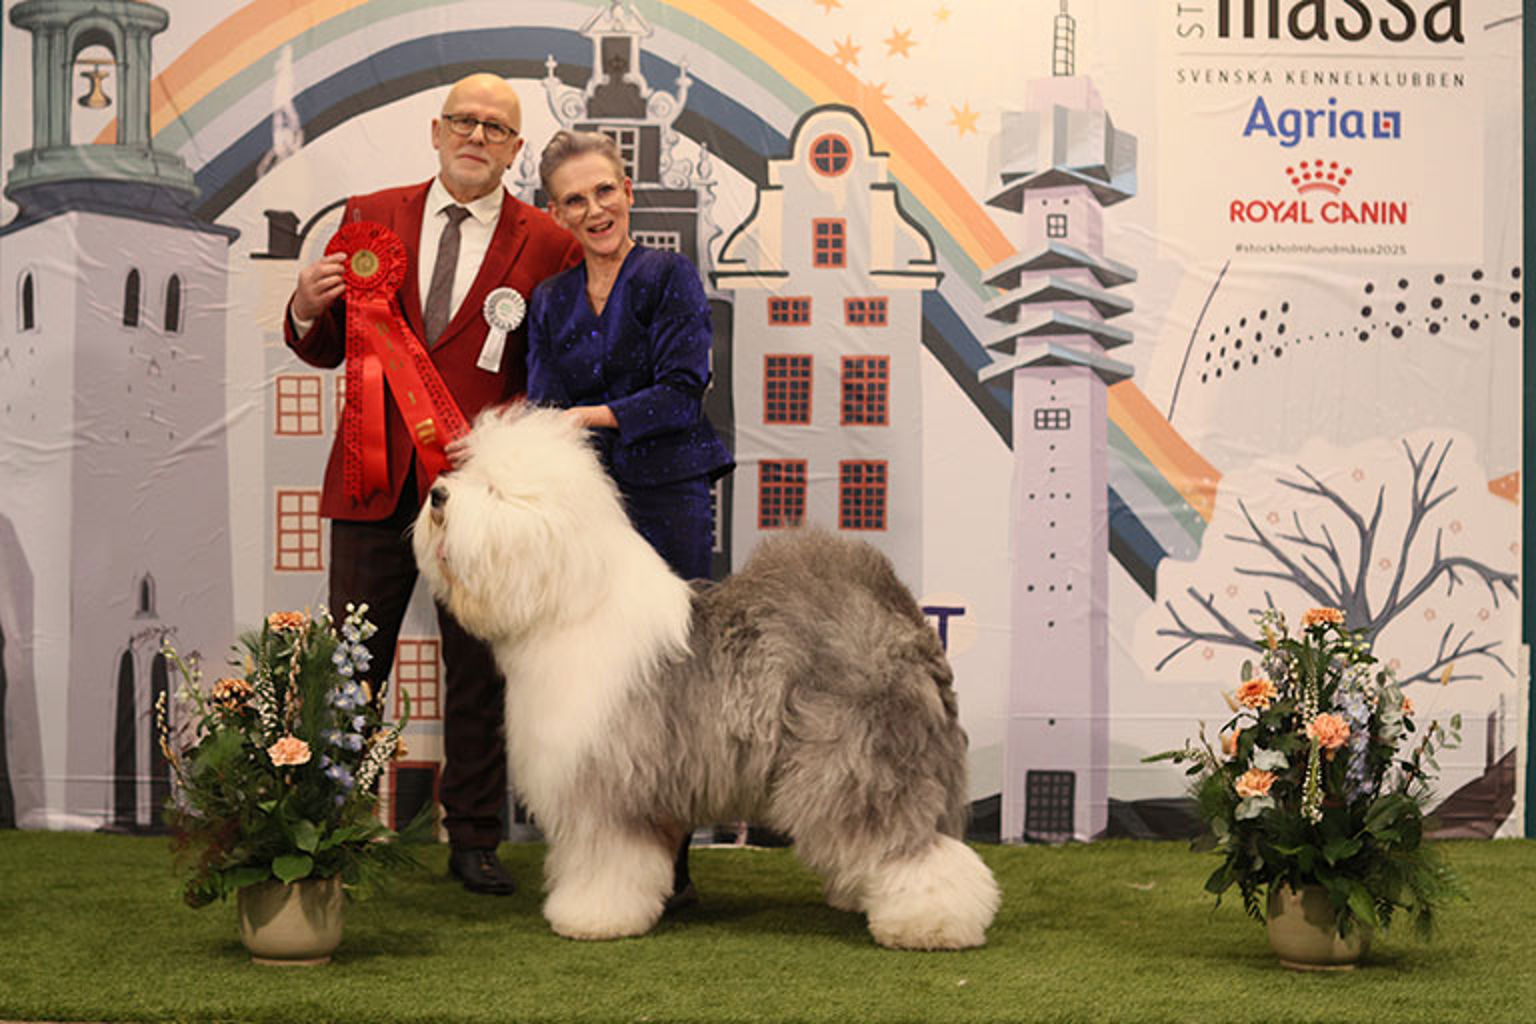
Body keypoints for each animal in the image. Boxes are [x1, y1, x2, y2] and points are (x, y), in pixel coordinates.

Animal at [412, 406, 1000, 949]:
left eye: (493, 489)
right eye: (467, 473)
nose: (438, 494)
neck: (568, 599)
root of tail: (902, 616)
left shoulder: (608, 784)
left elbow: (605, 860)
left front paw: (591, 917)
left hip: (860, 764)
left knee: (913, 845)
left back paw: (932, 923)